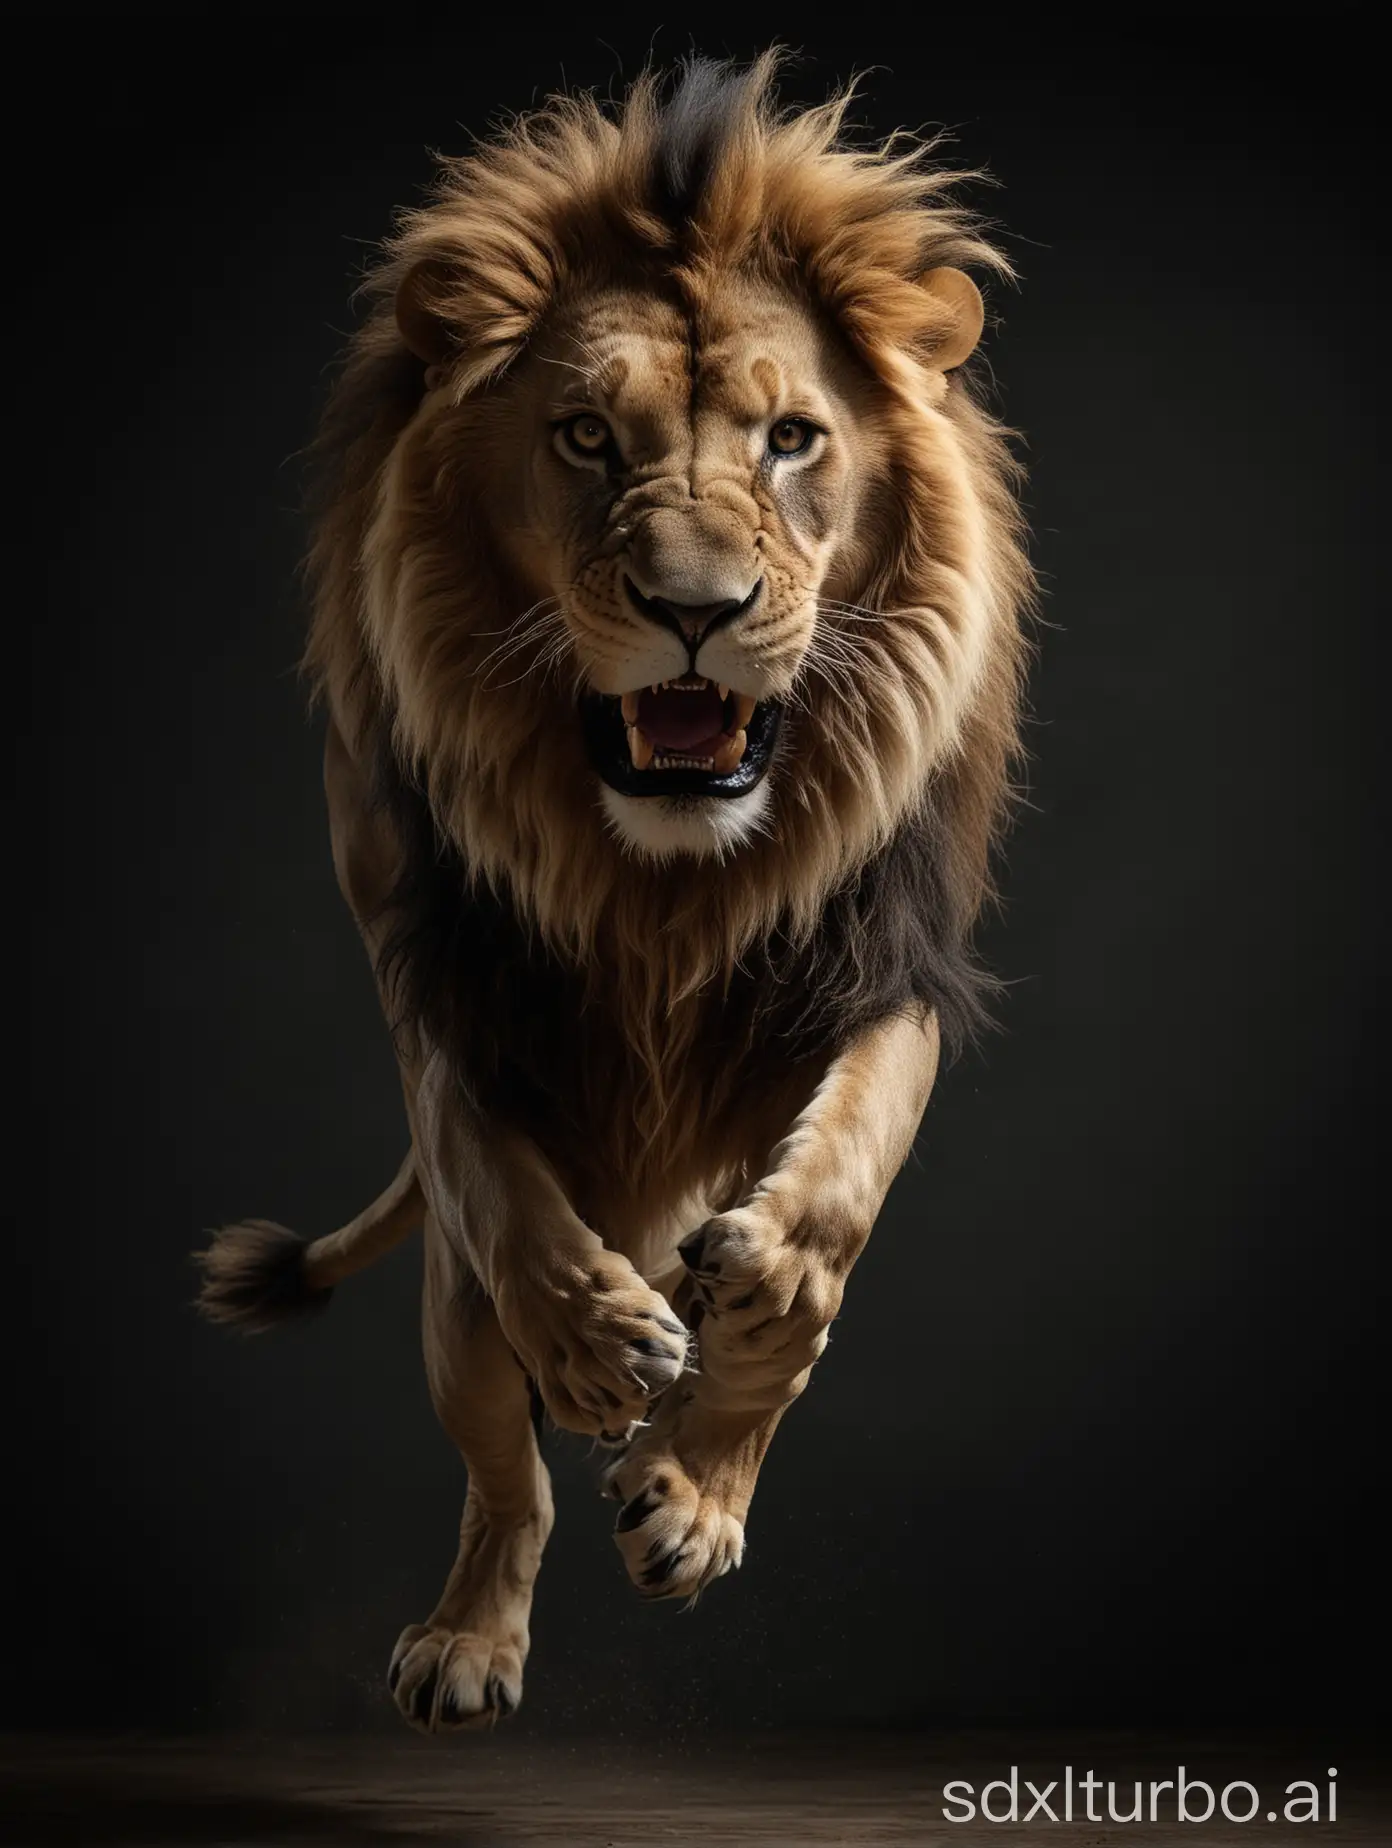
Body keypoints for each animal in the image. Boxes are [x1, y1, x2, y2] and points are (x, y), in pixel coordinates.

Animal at [195, 54, 1035, 1729]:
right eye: (585, 436)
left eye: (793, 439)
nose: (695, 612)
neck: (664, 883)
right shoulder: (439, 972)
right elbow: (493, 1176)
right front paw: (591, 1344)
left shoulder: (891, 962)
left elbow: (831, 1208)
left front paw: (703, 1460)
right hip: (450, 1321)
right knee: (499, 1468)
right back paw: (472, 1632)